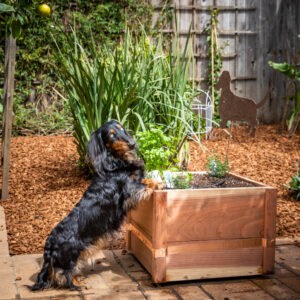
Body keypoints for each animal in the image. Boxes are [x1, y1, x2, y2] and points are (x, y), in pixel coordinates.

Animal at [28, 119, 157, 290]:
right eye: (111, 135)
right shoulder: (130, 189)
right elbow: (147, 184)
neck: (115, 161)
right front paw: (162, 184)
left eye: (121, 129)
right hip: (72, 253)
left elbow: (148, 180)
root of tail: (49, 245)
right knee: (63, 274)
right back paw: (77, 283)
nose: (132, 144)